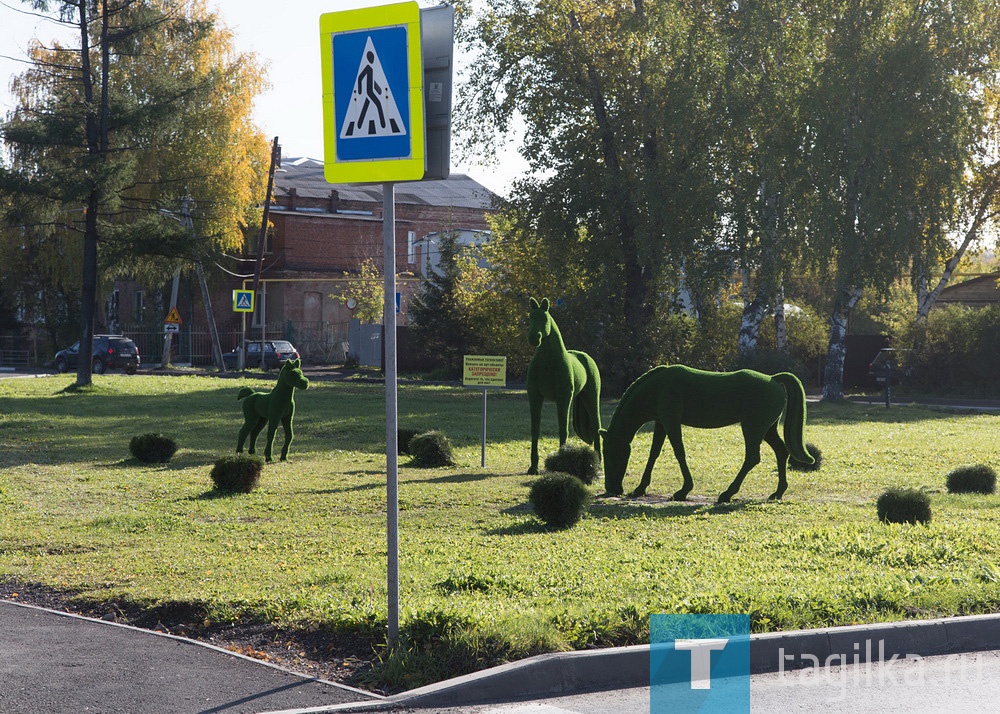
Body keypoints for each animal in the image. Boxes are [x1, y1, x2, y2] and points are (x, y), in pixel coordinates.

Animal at [528, 294, 604, 472]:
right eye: (530, 318)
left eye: (544, 318)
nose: (534, 338)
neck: (548, 363)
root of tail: (586, 356)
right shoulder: (534, 396)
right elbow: (535, 429)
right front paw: (533, 467)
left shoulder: (563, 398)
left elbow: (563, 430)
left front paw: (561, 462)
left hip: (592, 397)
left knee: (596, 427)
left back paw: (598, 463)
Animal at [600, 364, 812, 504]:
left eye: (609, 454)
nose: (611, 488)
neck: (658, 387)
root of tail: (774, 378)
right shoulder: (661, 423)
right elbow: (654, 454)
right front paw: (640, 488)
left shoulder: (671, 421)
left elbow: (679, 452)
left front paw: (683, 490)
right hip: (767, 429)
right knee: (781, 452)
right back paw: (778, 492)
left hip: (753, 428)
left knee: (752, 457)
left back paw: (727, 494)